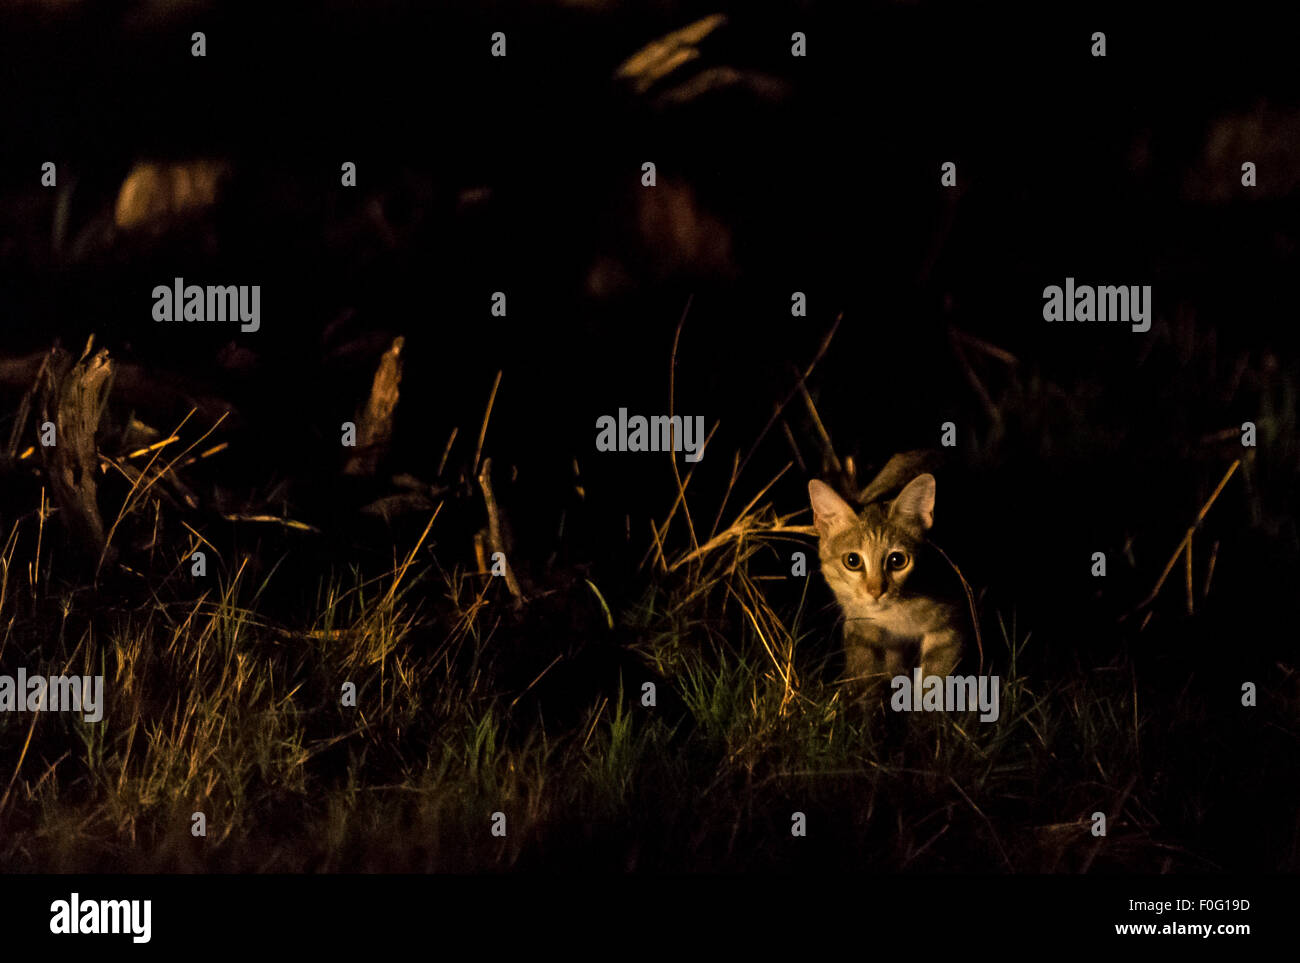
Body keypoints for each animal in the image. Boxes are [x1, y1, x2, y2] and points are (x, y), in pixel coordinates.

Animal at [811, 470, 967, 691]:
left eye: (897, 560)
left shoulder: (947, 631)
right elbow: (866, 679)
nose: (876, 591)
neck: (894, 618)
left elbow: (933, 685)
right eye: (852, 561)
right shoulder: (861, 630)